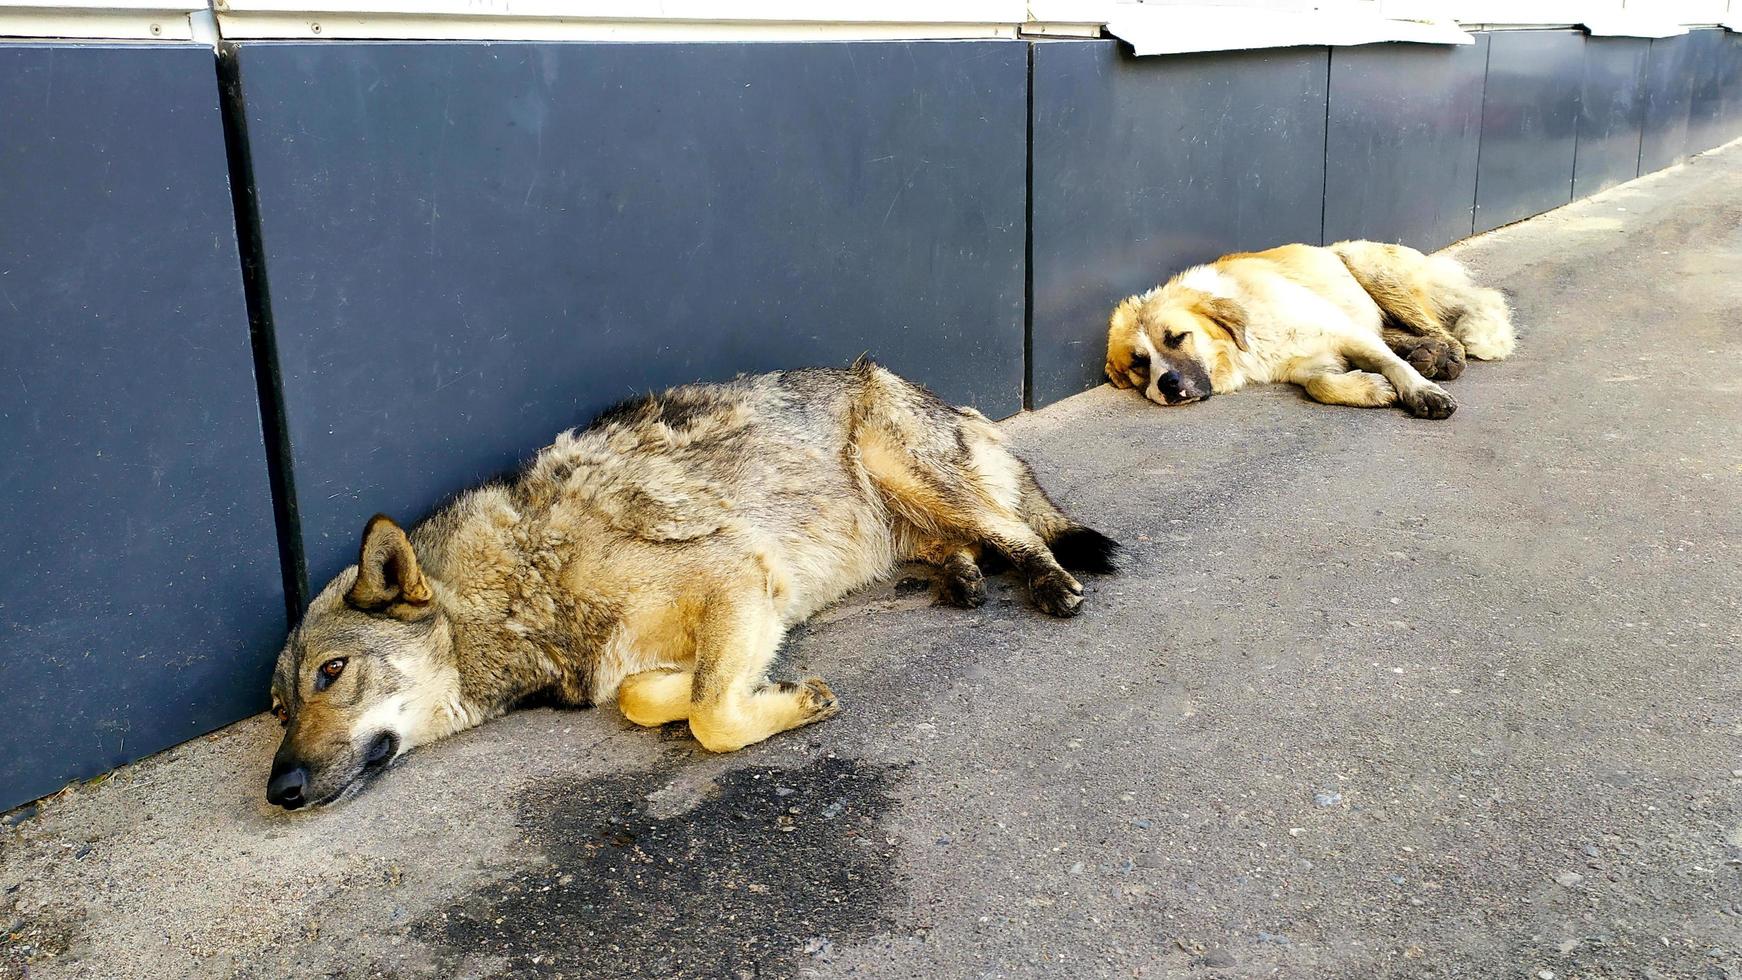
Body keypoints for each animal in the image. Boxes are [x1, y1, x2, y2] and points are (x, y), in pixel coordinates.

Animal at [1107, 243, 1519, 419]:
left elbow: (1392, 366)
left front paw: (1421, 391)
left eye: (1176, 338)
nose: (1167, 385)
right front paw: (1373, 388)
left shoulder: (1347, 331)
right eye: (1140, 364)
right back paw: (1424, 353)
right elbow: (1321, 385)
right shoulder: (1309, 364)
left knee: (1443, 328)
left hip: (1367, 266)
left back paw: (1443, 357)